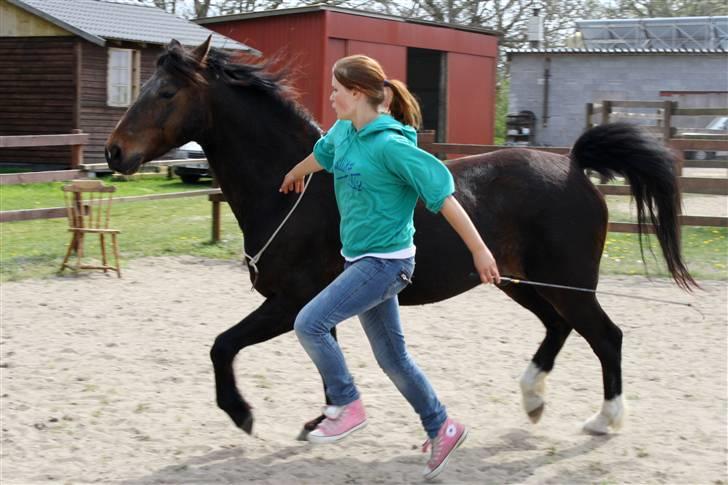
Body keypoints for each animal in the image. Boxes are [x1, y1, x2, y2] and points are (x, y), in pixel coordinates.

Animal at [106, 39, 692, 436]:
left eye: (165, 92)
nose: (114, 153)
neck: (290, 195)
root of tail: (573, 166)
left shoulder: (289, 302)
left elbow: (222, 345)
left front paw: (242, 414)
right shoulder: (314, 308)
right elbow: (326, 366)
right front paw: (327, 419)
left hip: (567, 283)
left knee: (607, 337)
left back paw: (604, 420)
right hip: (518, 281)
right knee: (558, 328)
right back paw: (533, 400)